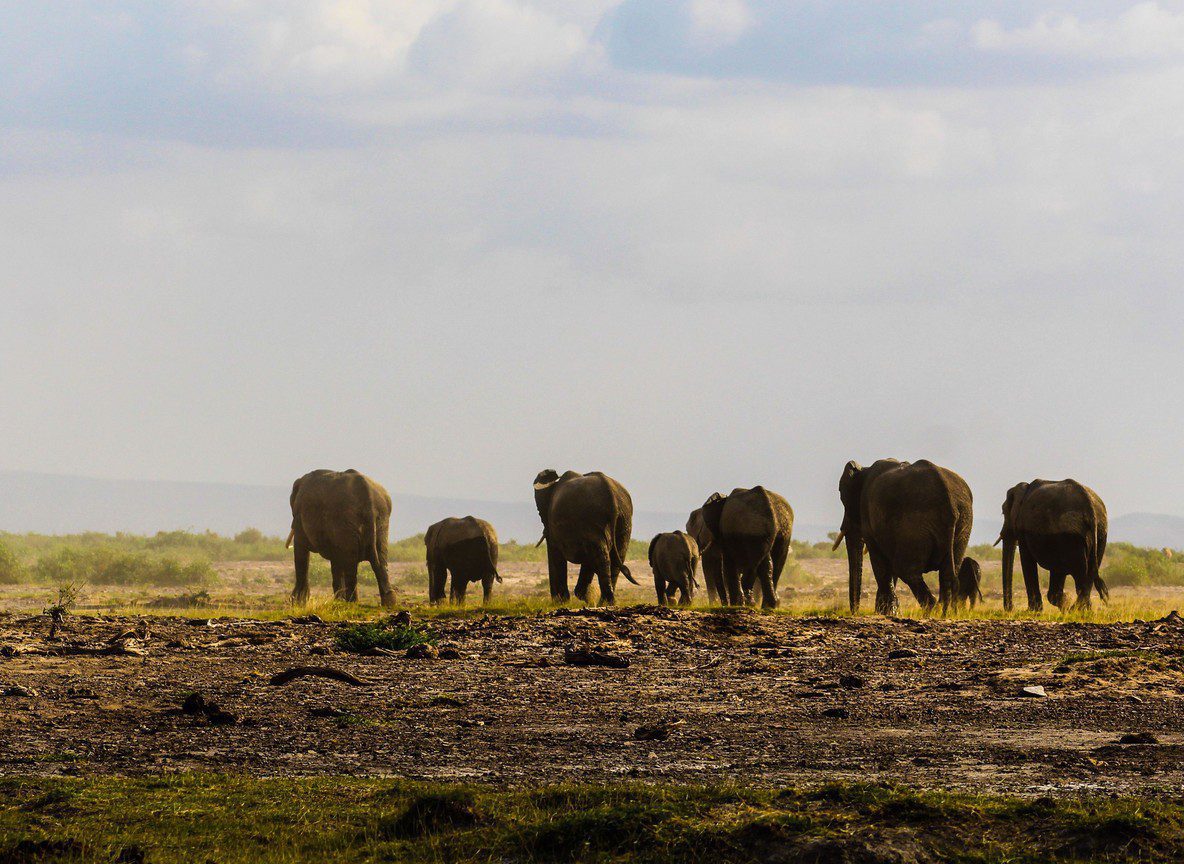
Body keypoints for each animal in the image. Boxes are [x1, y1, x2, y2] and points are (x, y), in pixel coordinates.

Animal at [286, 469, 395, 608]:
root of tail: (369, 500)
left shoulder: (299, 515)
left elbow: (301, 551)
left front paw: (297, 603)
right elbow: (336, 559)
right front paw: (338, 600)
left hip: (346, 520)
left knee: (351, 563)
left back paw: (352, 602)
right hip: (381, 521)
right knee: (380, 558)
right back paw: (389, 602)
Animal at [533, 469, 638, 604]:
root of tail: (612, 495)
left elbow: (556, 553)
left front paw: (561, 602)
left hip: (594, 518)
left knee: (601, 555)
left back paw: (604, 601)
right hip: (623, 519)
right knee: (614, 556)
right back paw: (606, 602)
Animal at [834, 459, 977, 615]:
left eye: (841, 495)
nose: (855, 612)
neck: (864, 470)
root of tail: (950, 504)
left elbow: (880, 563)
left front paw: (887, 612)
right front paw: (888, 612)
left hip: (915, 524)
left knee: (906, 570)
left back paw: (932, 610)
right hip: (963, 522)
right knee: (947, 572)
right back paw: (942, 613)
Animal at [996, 479, 1109, 611]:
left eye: (1003, 512)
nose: (1011, 609)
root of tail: (1090, 506)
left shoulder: (1024, 530)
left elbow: (1027, 560)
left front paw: (1033, 611)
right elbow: (1057, 572)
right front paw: (1064, 603)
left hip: (1072, 536)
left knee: (1080, 577)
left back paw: (1077, 611)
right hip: (1099, 535)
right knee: (1088, 575)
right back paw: (1081, 610)